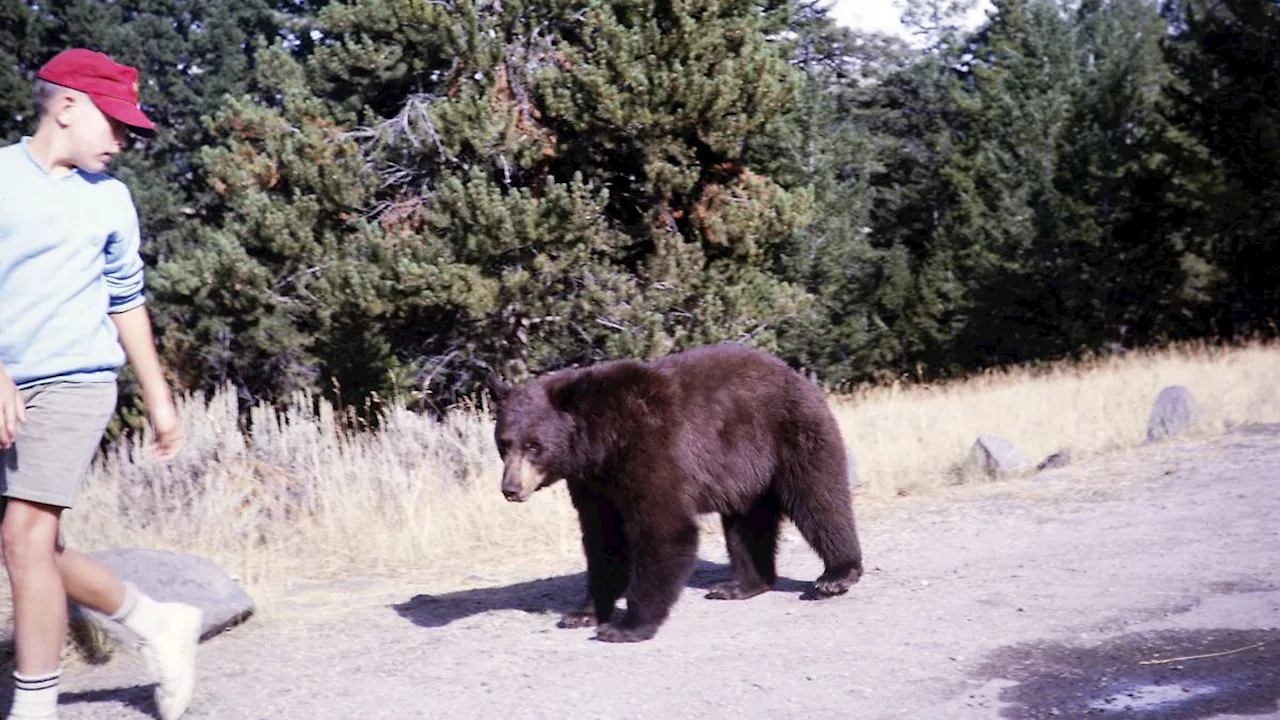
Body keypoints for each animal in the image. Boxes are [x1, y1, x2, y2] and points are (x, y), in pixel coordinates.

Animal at [483, 340, 865, 638]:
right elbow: (603, 540)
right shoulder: (593, 484)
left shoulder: (651, 451)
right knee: (746, 523)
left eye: (534, 445)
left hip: (790, 435)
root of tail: (796, 374)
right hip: (744, 473)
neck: (601, 443)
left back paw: (835, 575)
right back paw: (739, 585)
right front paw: (582, 613)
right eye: (504, 443)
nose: (510, 488)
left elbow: (663, 530)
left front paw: (626, 626)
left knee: (819, 499)